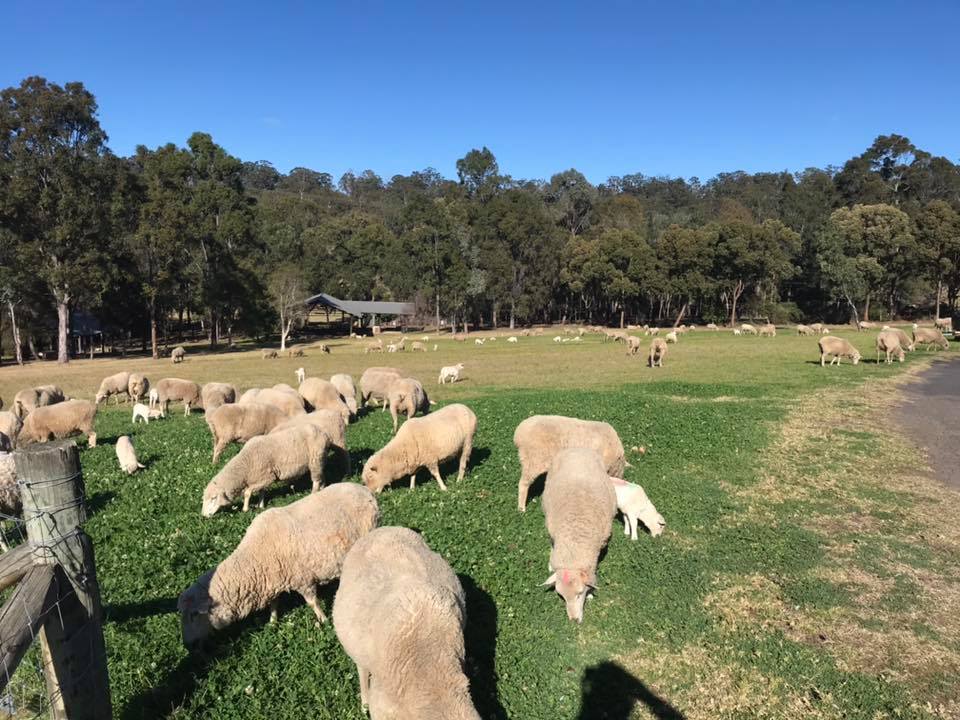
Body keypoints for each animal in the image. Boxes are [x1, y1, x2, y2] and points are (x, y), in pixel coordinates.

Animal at [180, 480, 378, 644]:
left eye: (193, 615)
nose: (188, 645)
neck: (255, 556)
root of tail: (364, 490)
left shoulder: (302, 579)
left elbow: (312, 602)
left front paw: (323, 620)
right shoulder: (272, 579)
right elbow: (273, 603)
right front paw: (273, 621)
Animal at [201, 422, 332, 516]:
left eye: (213, 498)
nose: (204, 516)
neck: (246, 464)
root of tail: (323, 433)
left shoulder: (268, 476)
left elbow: (247, 492)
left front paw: (245, 508)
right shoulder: (262, 477)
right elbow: (261, 491)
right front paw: (260, 505)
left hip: (315, 459)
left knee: (316, 479)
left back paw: (314, 493)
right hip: (320, 459)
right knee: (322, 475)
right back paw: (323, 488)